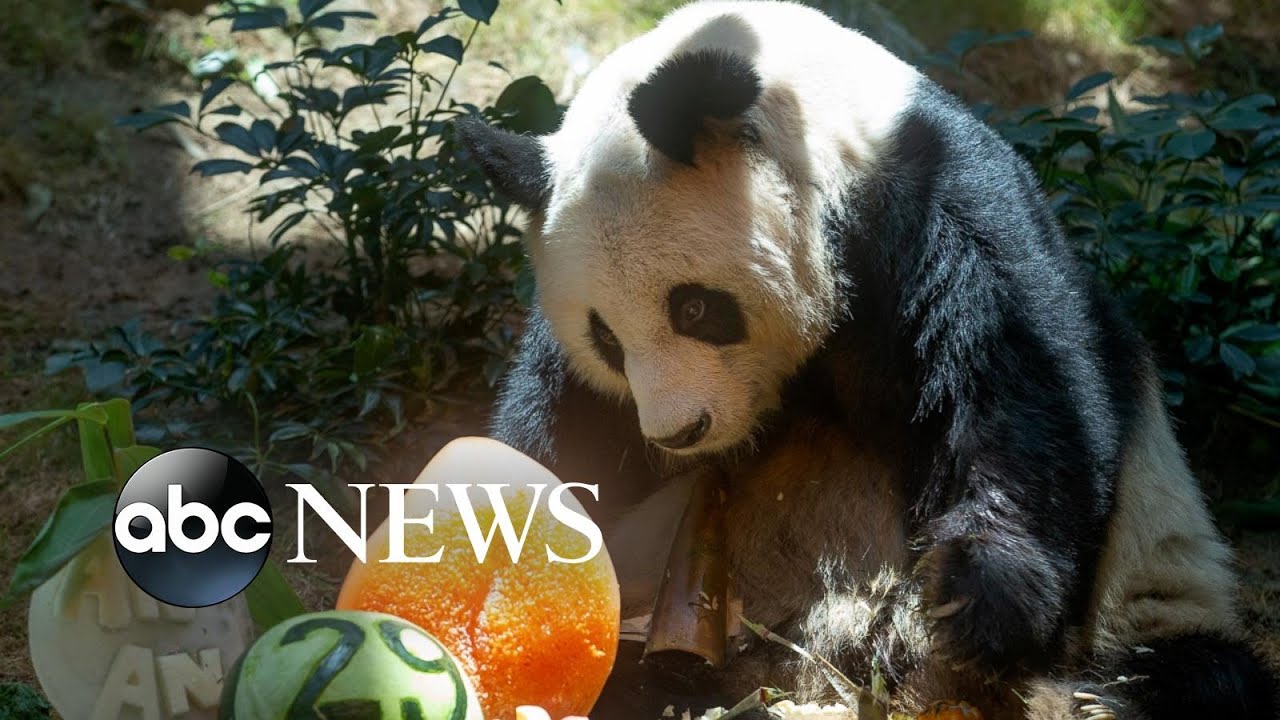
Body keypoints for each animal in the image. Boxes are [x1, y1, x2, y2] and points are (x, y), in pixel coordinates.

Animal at [456, 2, 1279, 719]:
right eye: (607, 339)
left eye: (694, 309)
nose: (678, 433)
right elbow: (557, 430)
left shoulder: (937, 210)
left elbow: (1018, 392)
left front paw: (974, 596)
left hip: (1152, 578)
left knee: (1198, 667)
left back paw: (1105, 696)